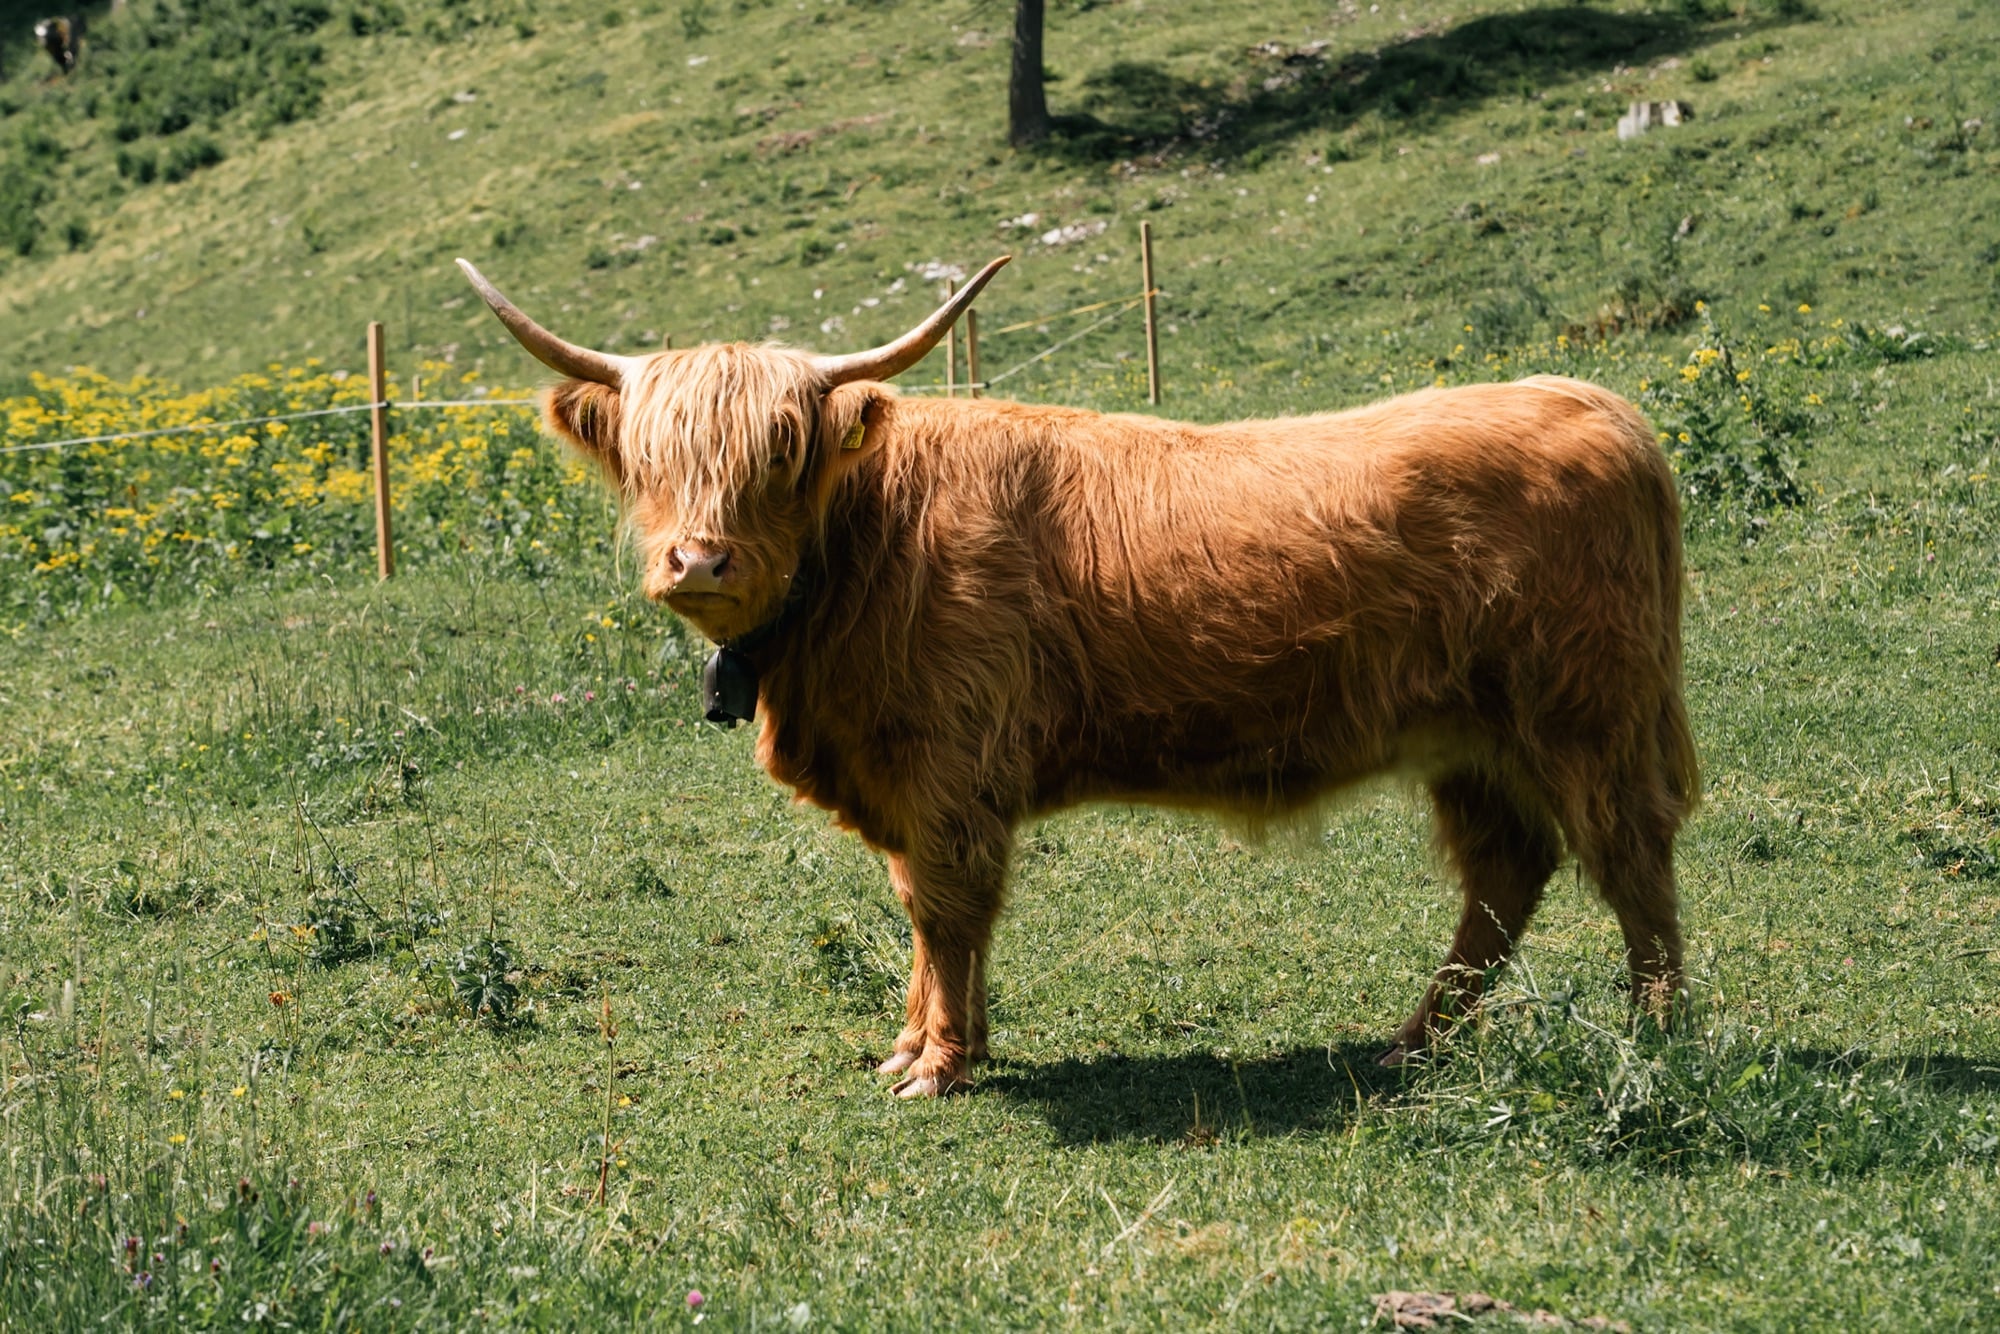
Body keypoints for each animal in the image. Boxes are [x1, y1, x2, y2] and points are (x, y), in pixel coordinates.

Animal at [459, 255, 1700, 1098]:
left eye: (782, 450)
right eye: (651, 457)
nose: (699, 559)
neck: (866, 550)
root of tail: (1596, 404)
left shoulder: (950, 762)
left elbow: (944, 906)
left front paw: (938, 1064)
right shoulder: (909, 776)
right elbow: (922, 911)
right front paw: (917, 1042)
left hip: (1585, 712)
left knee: (1627, 856)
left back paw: (1654, 1034)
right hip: (1469, 738)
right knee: (1504, 871)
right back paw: (1414, 1043)